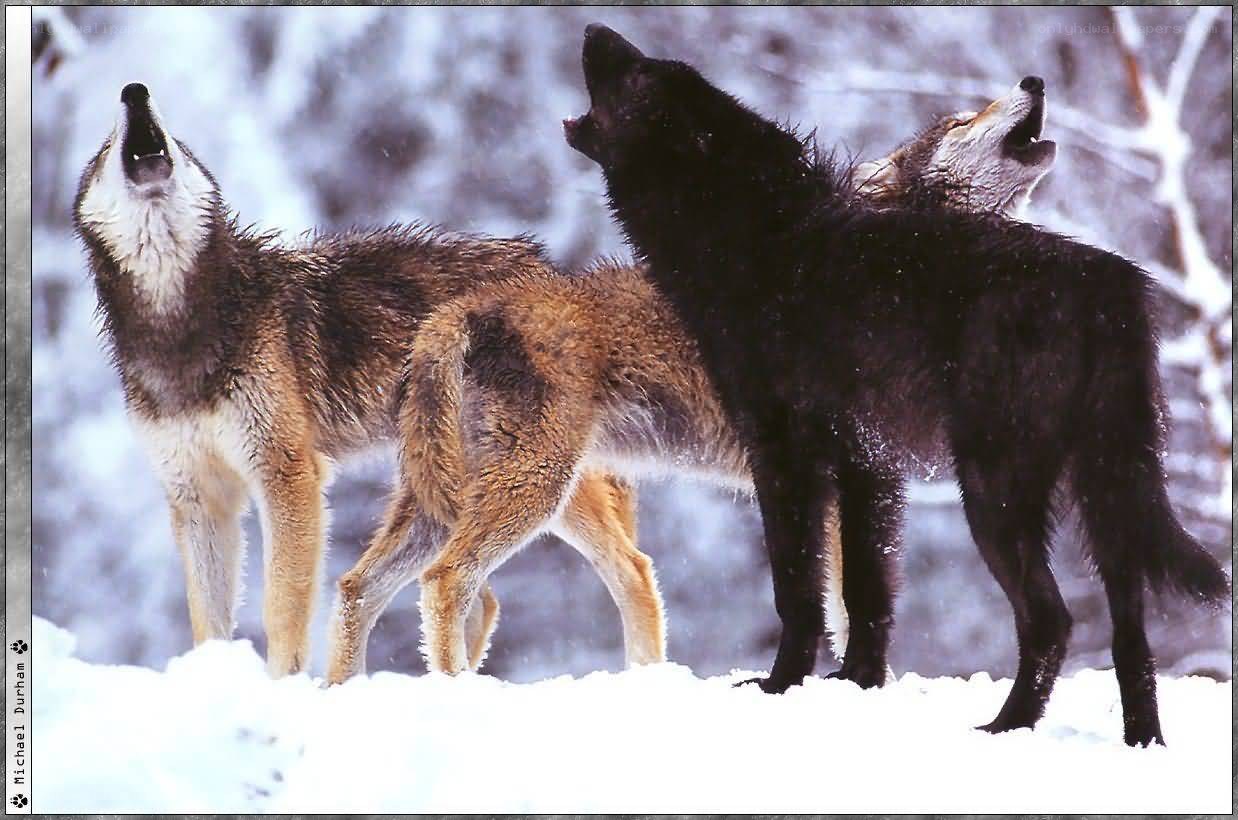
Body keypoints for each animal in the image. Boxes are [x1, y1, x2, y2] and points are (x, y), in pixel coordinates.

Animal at [73, 82, 663, 678]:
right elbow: (207, 623)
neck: (180, 326)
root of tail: (553, 271)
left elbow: (281, 609)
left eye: (177, 140)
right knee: (469, 597)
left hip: (541, 481)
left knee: (632, 569)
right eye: (104, 148)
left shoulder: (287, 475)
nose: (134, 91)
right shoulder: (197, 496)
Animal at [328, 79, 1058, 681]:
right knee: (446, 579)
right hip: (533, 490)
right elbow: (853, 606)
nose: (1033, 81)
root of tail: (463, 308)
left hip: (454, 498)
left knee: (358, 587)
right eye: (962, 118)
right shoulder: (854, 479)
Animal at [561, 25, 1227, 746]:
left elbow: (797, 590)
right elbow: (866, 592)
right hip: (1106, 491)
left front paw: (779, 686)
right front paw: (856, 683)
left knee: (1051, 619)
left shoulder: (786, 459)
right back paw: (1140, 744)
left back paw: (1004, 729)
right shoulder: (867, 467)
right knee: (1132, 633)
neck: (752, 239)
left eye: (639, 75)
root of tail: (1109, 279)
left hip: (995, 491)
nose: (593, 29)